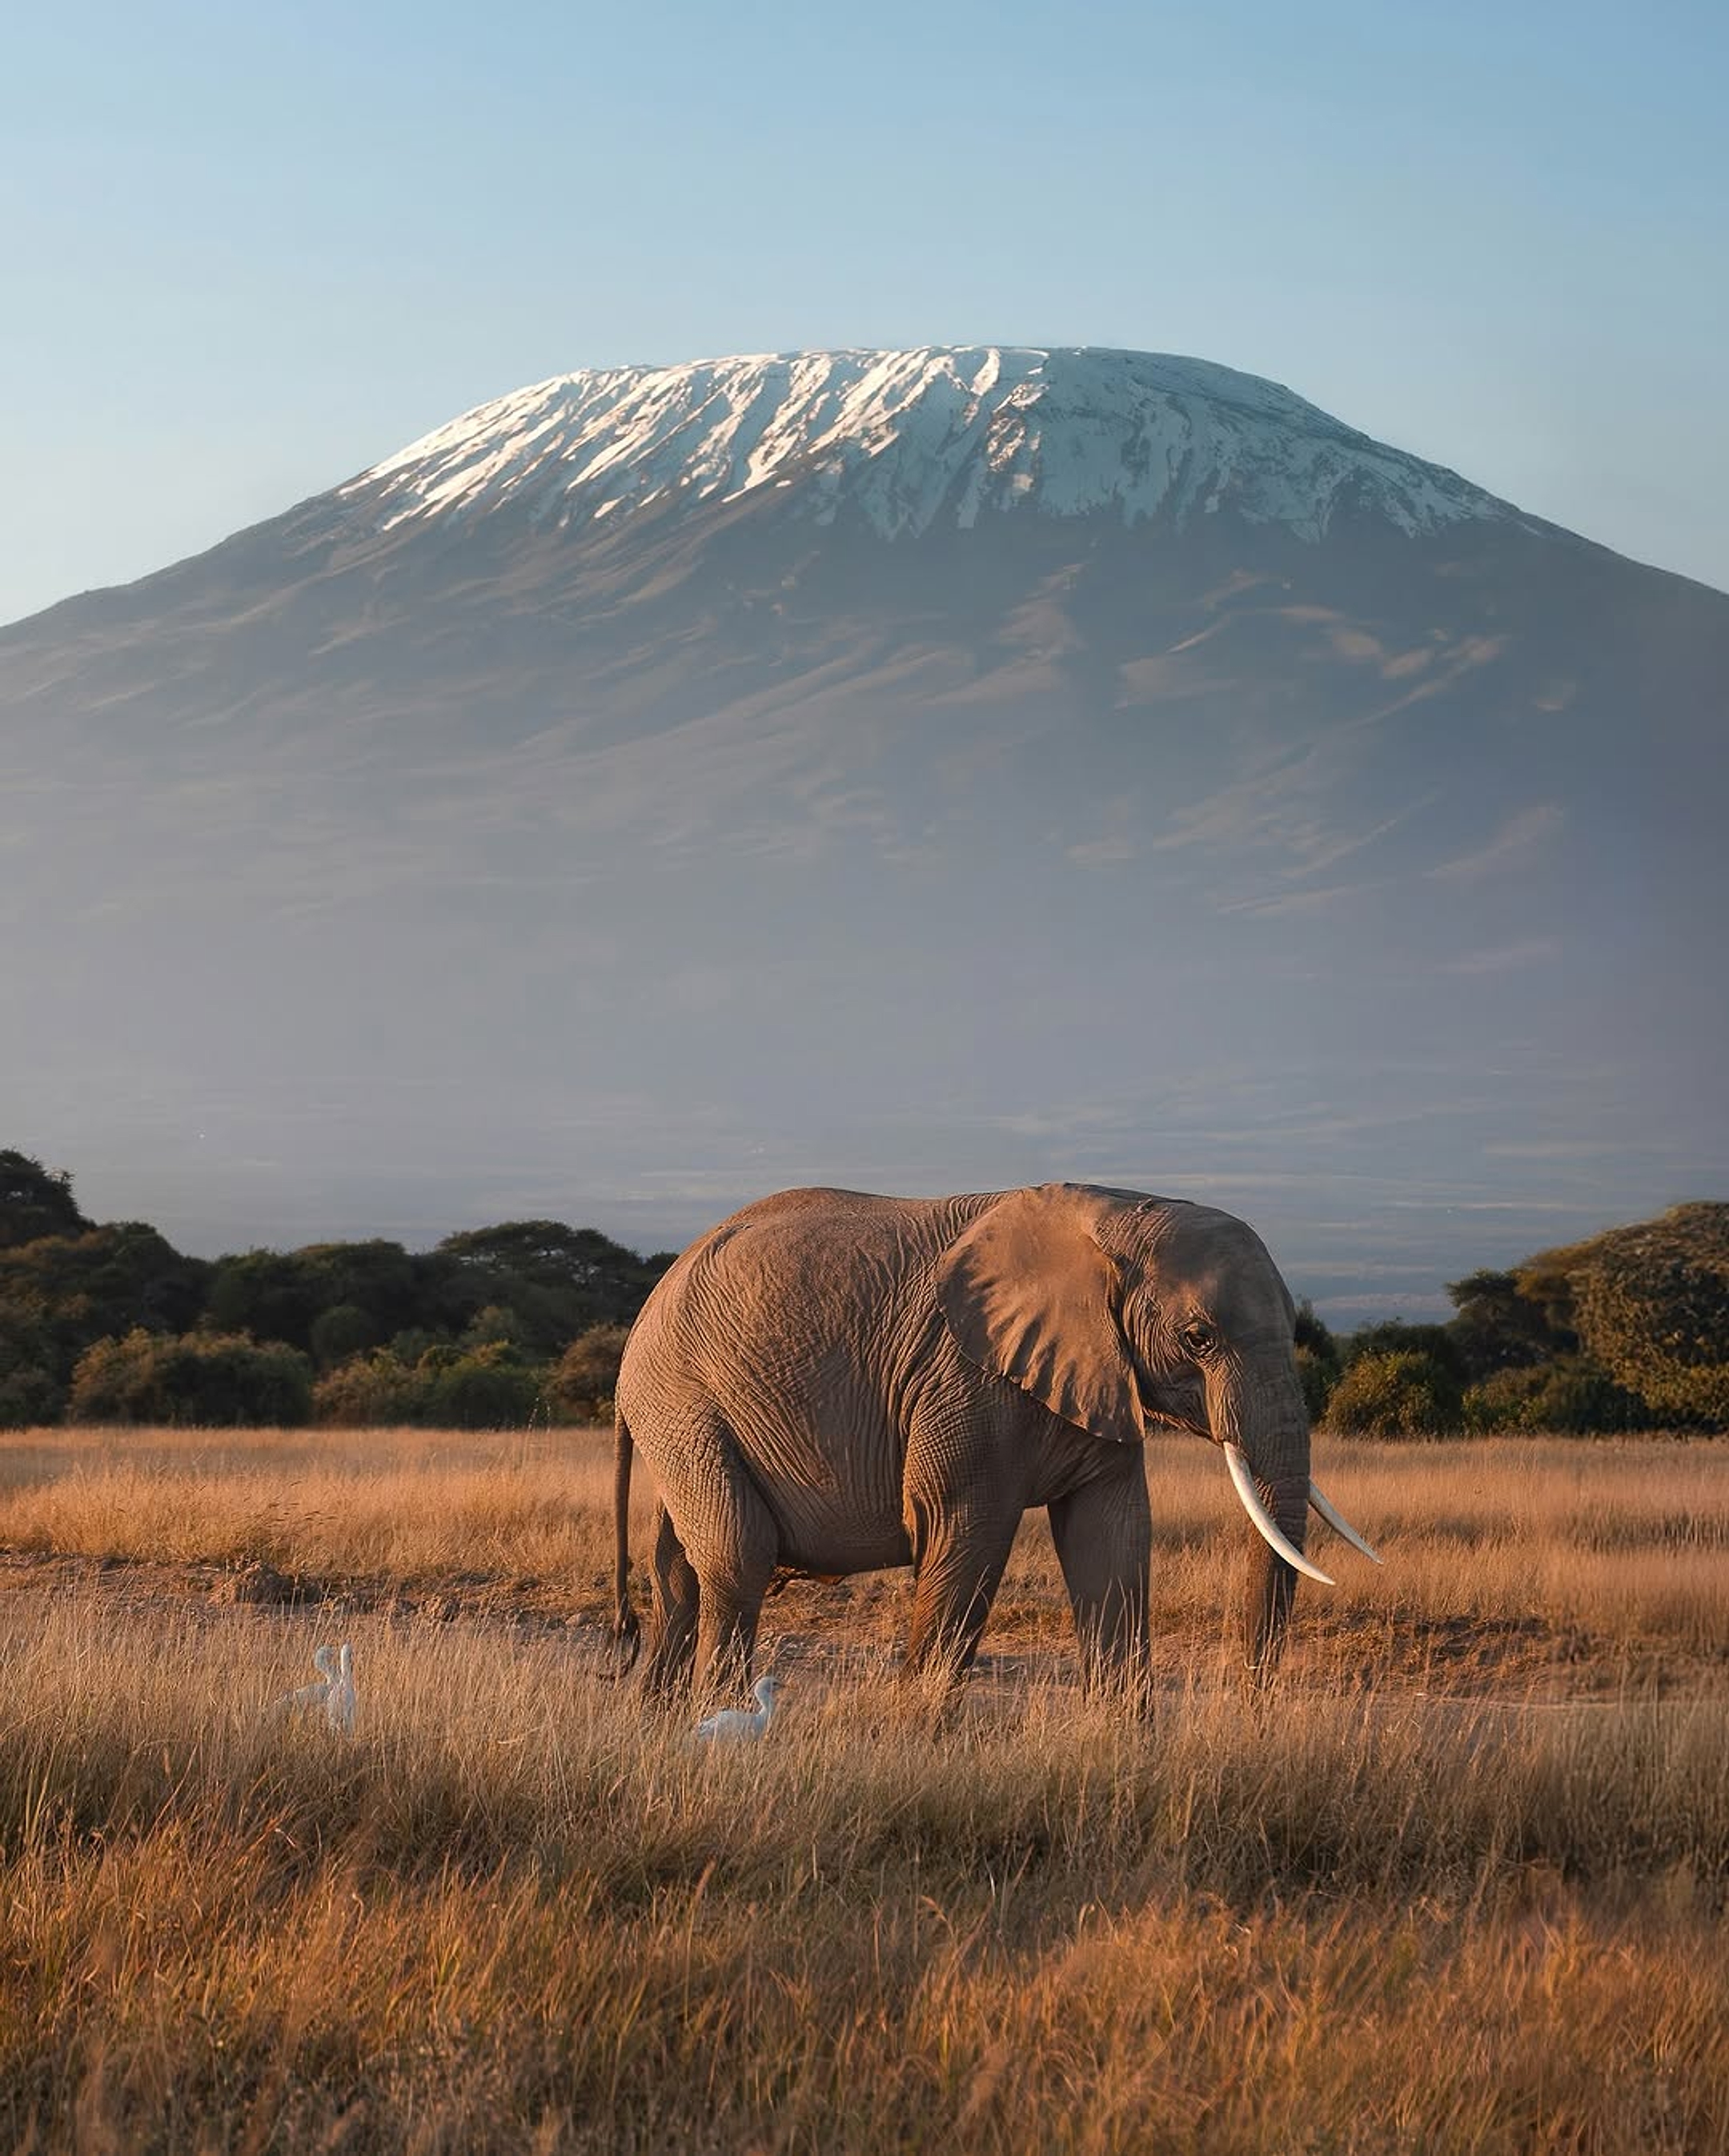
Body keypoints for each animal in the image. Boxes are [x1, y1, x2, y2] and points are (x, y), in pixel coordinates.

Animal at [610, 1183, 1375, 1698]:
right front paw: (911, 1748)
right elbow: (964, 1536)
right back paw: (716, 1723)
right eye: (1199, 1338)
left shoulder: (1099, 1372)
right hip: (681, 1399)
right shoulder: (963, 1380)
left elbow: (1112, 1539)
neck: (1121, 1208)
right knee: (737, 1560)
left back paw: (659, 1726)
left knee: (678, 1575)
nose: (1249, 1705)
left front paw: (1129, 1758)